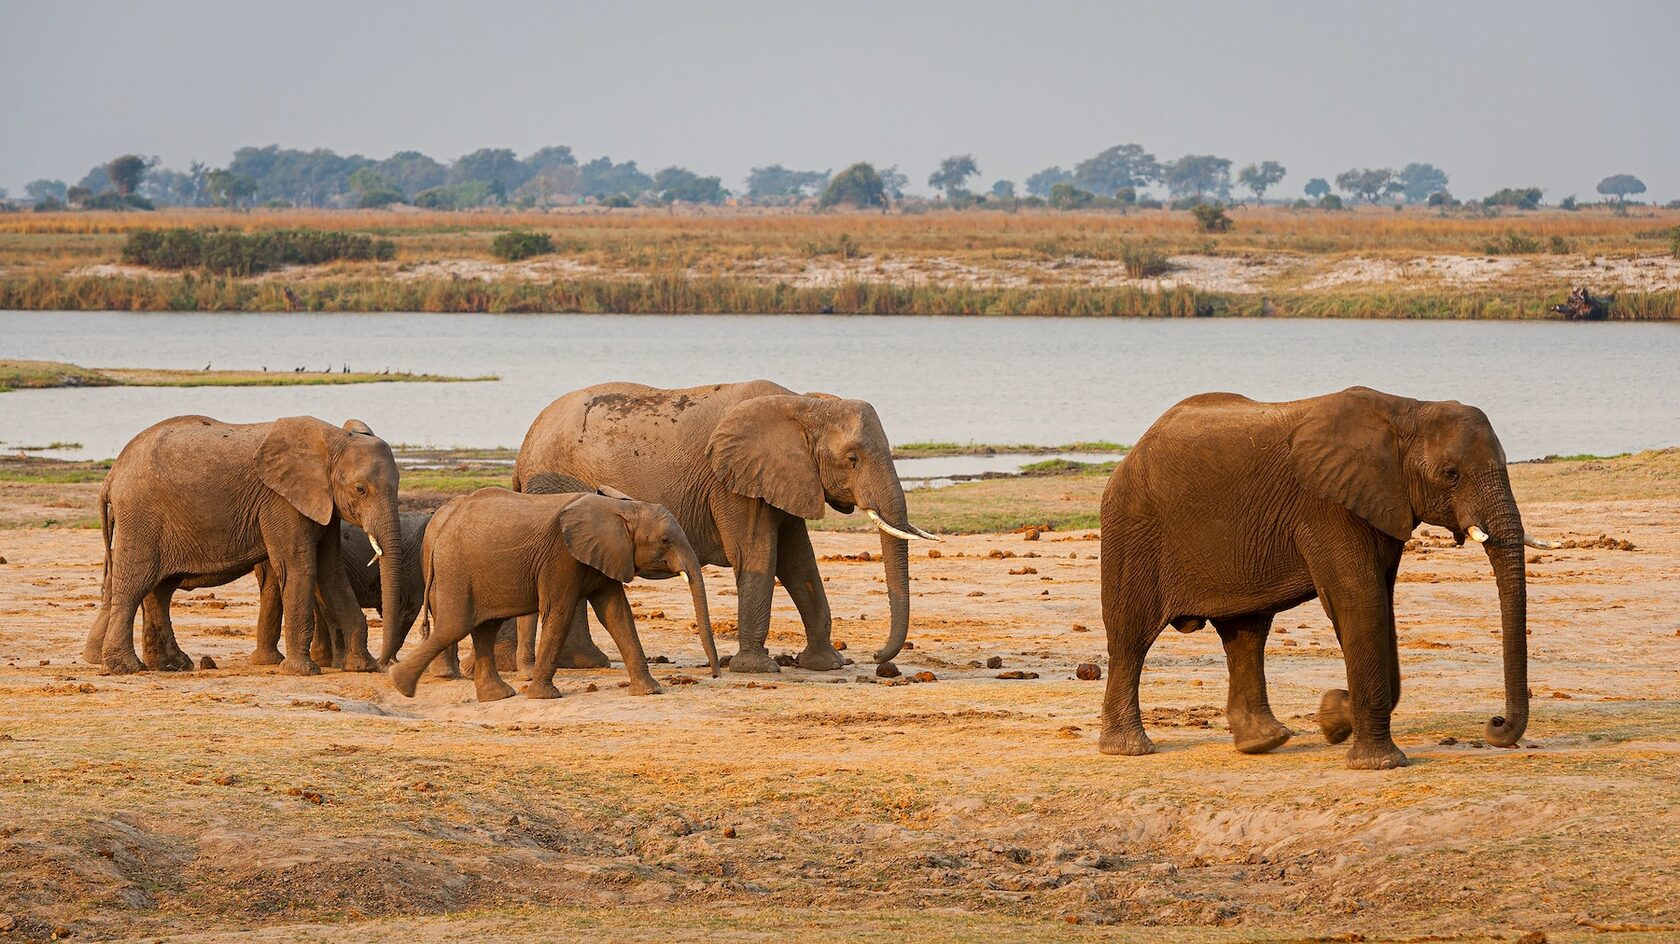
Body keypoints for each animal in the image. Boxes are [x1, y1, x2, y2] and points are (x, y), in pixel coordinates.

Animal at [82, 414, 403, 671]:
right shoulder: (280, 501)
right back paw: (126, 667)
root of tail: (112, 475)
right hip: (141, 516)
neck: (333, 439)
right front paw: (302, 671)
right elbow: (300, 568)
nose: (385, 663)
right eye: (360, 489)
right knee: (135, 582)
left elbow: (331, 573)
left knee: (158, 589)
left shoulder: (322, 504)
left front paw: (362, 667)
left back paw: (170, 664)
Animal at [389, 483, 719, 698]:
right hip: (456, 569)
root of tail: (440, 531)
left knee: (483, 628)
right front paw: (544, 696)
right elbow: (559, 612)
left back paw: (499, 695)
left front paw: (650, 691)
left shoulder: (604, 554)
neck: (620, 507)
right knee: (456, 624)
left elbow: (616, 614)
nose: (715, 674)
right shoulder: (561, 557)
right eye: (664, 540)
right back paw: (401, 684)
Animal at [503, 377, 940, 671]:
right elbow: (758, 554)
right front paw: (758, 669)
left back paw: (584, 663)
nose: (877, 655)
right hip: (558, 485)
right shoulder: (732, 483)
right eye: (852, 459)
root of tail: (523, 448)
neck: (802, 404)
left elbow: (799, 563)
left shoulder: (783, 478)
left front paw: (826, 664)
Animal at [1095, 386, 1552, 769]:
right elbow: (1359, 599)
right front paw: (1378, 763)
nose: (1495, 723)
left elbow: (1380, 602)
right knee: (1132, 636)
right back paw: (1129, 749)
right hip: (1133, 526)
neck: (1407, 411)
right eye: (1451, 473)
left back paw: (1264, 742)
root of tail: (1135, 450)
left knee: (1246, 635)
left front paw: (1333, 717)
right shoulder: (1327, 506)